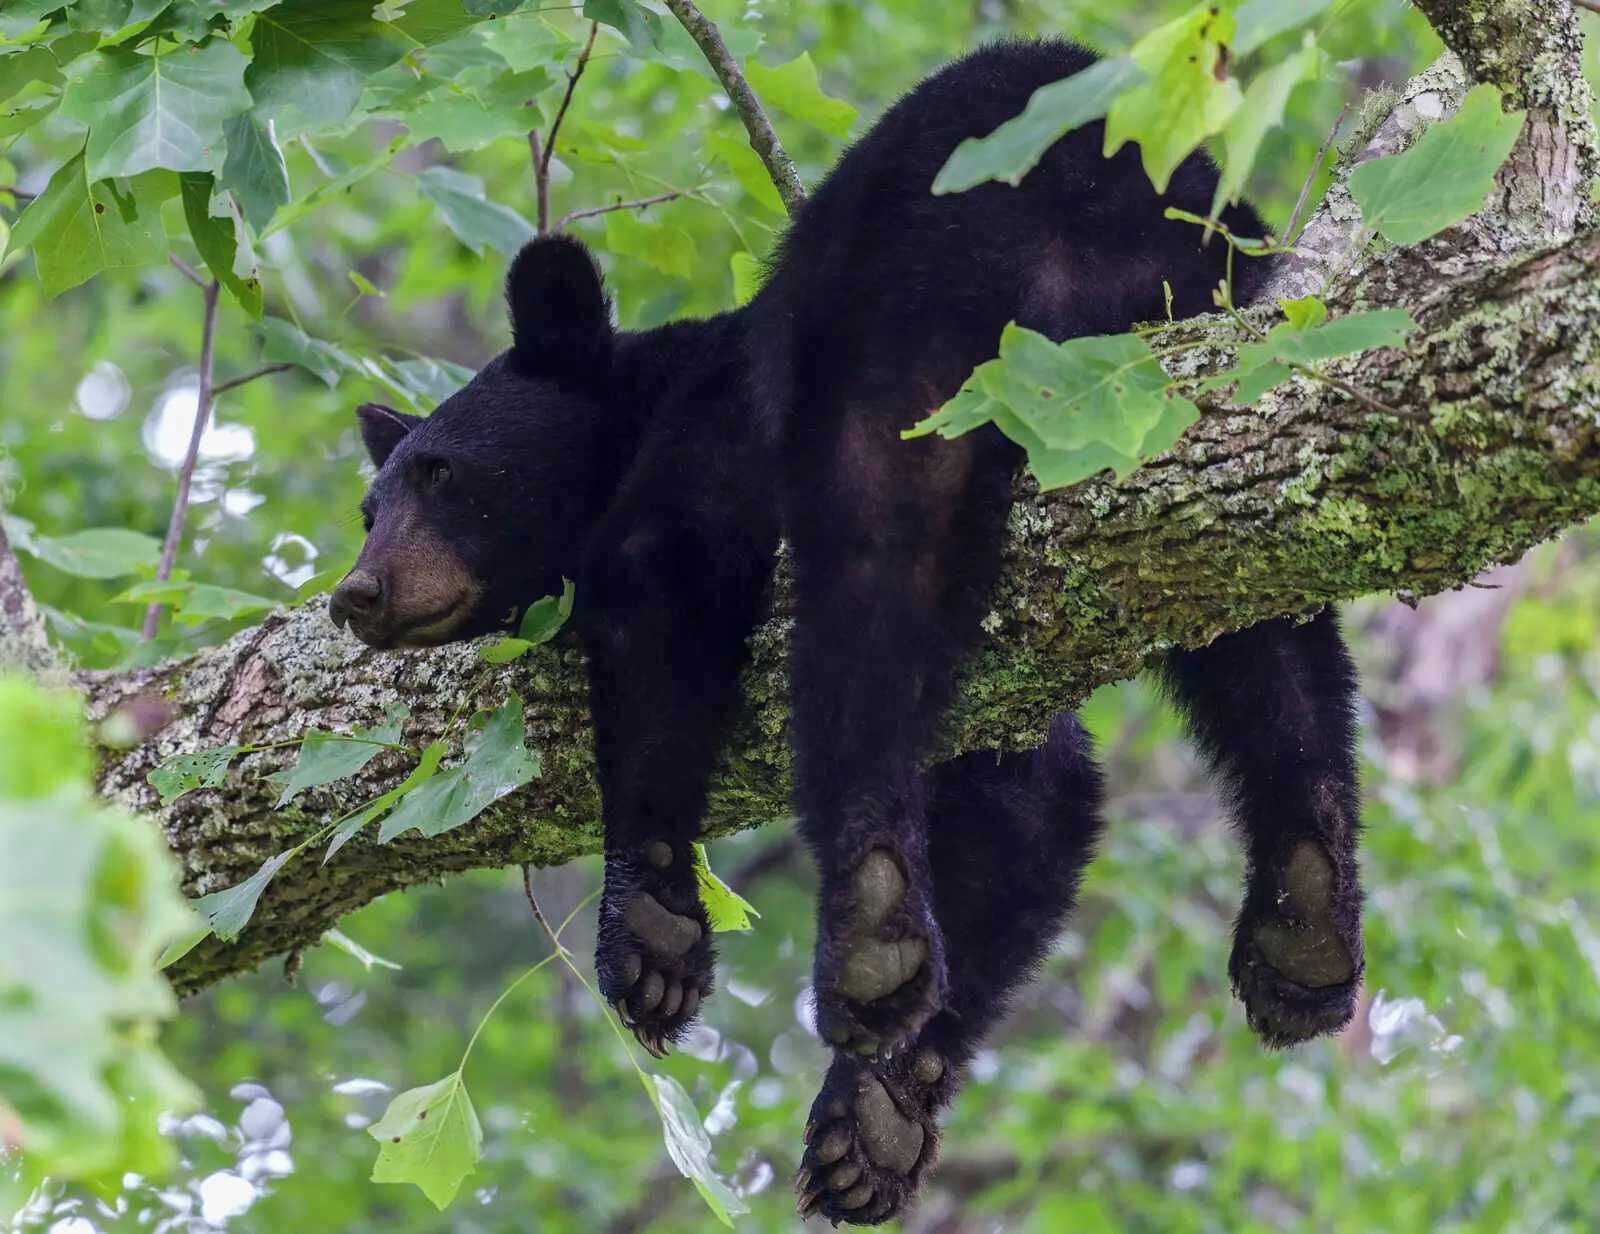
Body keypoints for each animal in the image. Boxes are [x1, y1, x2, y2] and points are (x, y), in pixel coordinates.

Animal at [330, 38, 1364, 1225]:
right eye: (369, 507)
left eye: (444, 476)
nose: (356, 593)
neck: (641, 401)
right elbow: (1034, 797)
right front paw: (876, 1119)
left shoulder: (715, 430)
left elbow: (660, 582)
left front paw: (652, 927)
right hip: (1204, 344)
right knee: (1263, 608)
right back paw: (1304, 911)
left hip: (913, 316)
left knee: (873, 571)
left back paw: (866, 920)